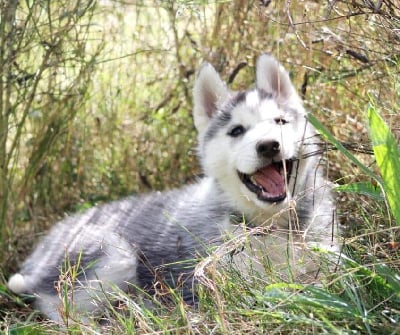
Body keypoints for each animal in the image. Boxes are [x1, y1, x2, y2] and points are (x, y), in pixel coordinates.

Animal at [7, 54, 338, 322]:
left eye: (280, 121)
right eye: (236, 131)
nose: (268, 145)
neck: (273, 224)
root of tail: (38, 254)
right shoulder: (221, 284)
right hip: (114, 253)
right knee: (61, 309)